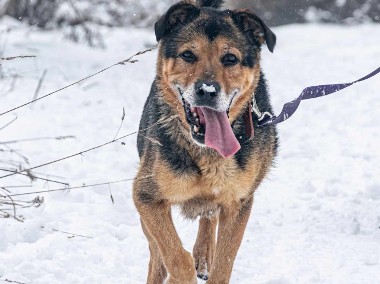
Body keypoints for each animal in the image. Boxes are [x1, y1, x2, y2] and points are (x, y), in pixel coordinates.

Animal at [134, 1, 280, 282]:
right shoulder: (146, 197)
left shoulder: (238, 202)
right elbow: (175, 256)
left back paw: (202, 254)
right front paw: (181, 273)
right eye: (188, 55)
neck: (206, 152)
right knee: (156, 253)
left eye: (230, 59)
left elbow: (224, 261)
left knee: (208, 217)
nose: (207, 91)